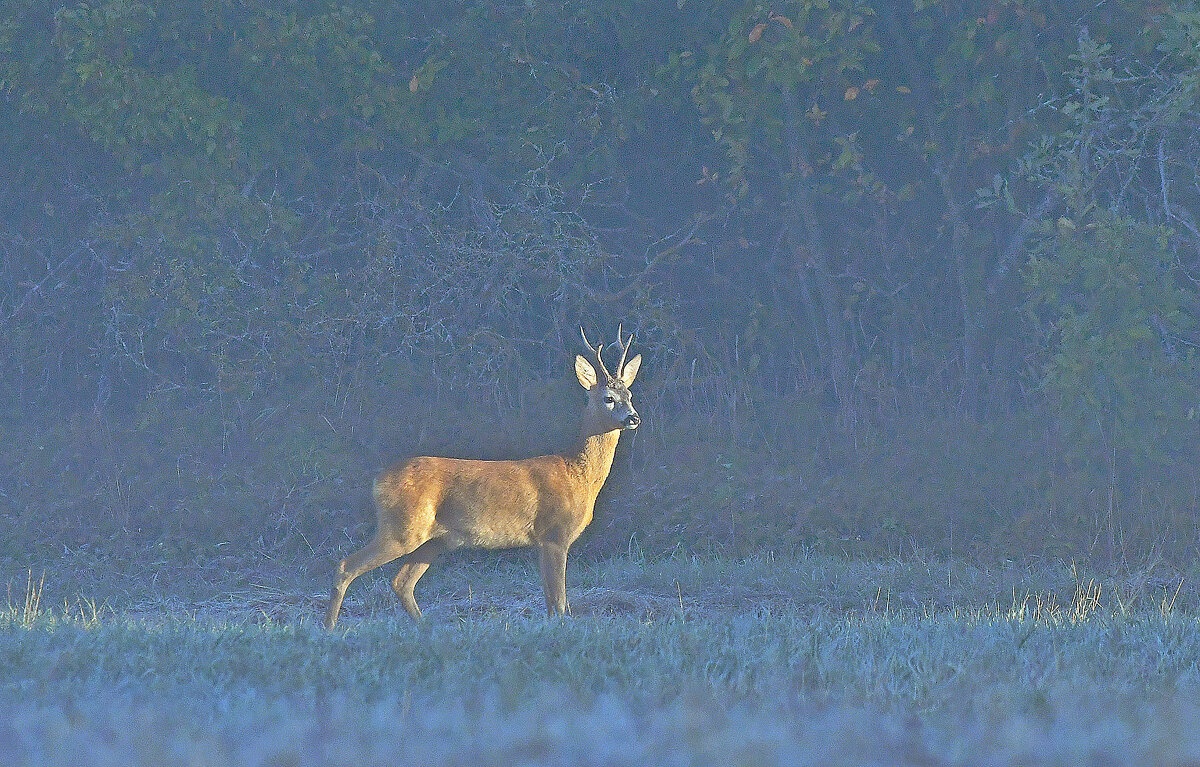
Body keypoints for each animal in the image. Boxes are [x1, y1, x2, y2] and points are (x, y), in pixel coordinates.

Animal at [324, 326, 643, 628]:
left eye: (630, 396)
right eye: (608, 398)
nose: (634, 418)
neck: (578, 475)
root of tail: (378, 481)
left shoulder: (543, 541)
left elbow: (551, 602)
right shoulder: (555, 533)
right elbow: (560, 601)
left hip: (432, 541)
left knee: (401, 582)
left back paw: (425, 626)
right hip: (401, 528)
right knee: (346, 566)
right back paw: (330, 628)